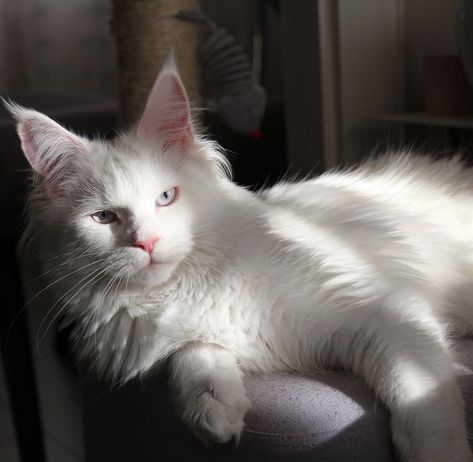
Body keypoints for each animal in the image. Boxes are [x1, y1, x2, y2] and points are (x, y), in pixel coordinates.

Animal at [6, 58, 472, 462]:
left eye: (166, 197)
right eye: (104, 217)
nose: (146, 243)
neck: (188, 290)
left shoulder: (388, 315)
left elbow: (423, 411)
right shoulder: (181, 339)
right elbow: (193, 354)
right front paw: (214, 411)